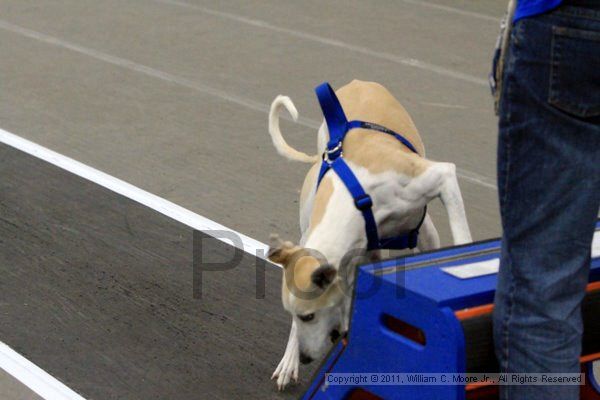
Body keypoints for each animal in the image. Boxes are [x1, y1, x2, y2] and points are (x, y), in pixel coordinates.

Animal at [268, 79, 474, 390]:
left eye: (309, 316)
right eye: (295, 316)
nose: (304, 358)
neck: (357, 196)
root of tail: (359, 83)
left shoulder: (443, 176)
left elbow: (462, 237)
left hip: (427, 231)